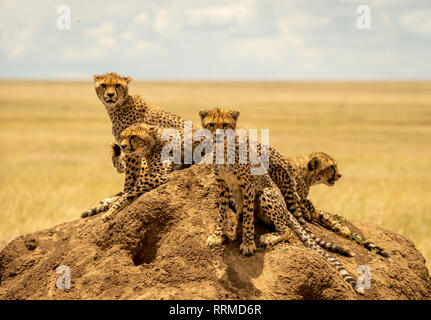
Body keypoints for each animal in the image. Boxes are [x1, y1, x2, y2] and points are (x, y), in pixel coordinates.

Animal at [201, 109, 362, 294]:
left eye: (225, 124)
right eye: (211, 124)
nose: (339, 175)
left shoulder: (250, 186)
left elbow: (249, 219)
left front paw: (248, 244)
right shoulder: (223, 184)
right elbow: (222, 213)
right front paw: (219, 235)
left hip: (266, 194)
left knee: (285, 228)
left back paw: (267, 235)